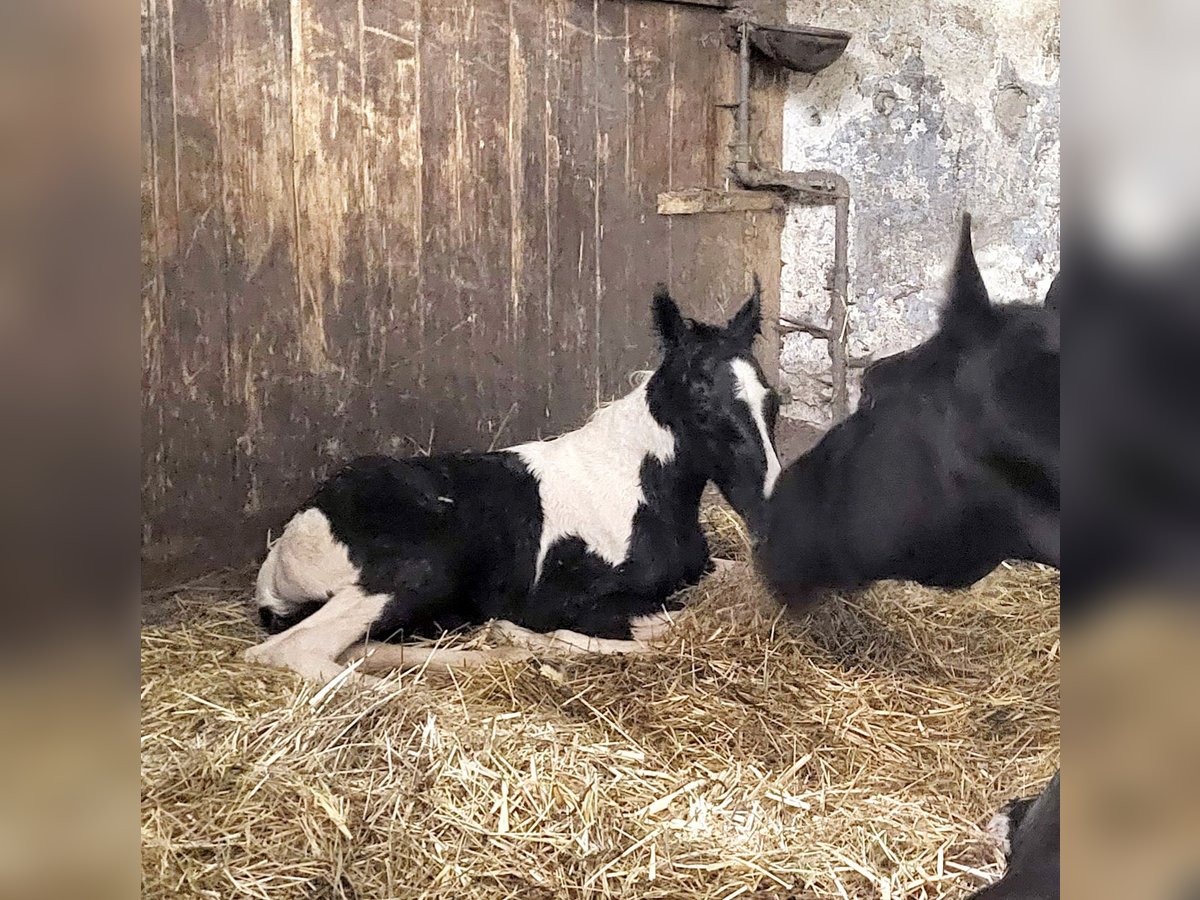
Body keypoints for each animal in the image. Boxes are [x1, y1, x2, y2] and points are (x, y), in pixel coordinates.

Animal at [248, 285, 782, 681]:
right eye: (702, 405)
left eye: (772, 400)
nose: (767, 504)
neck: (640, 489)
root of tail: (282, 554)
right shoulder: (573, 602)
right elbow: (673, 624)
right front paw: (537, 637)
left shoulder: (703, 569)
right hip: (408, 574)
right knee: (292, 652)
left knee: (359, 648)